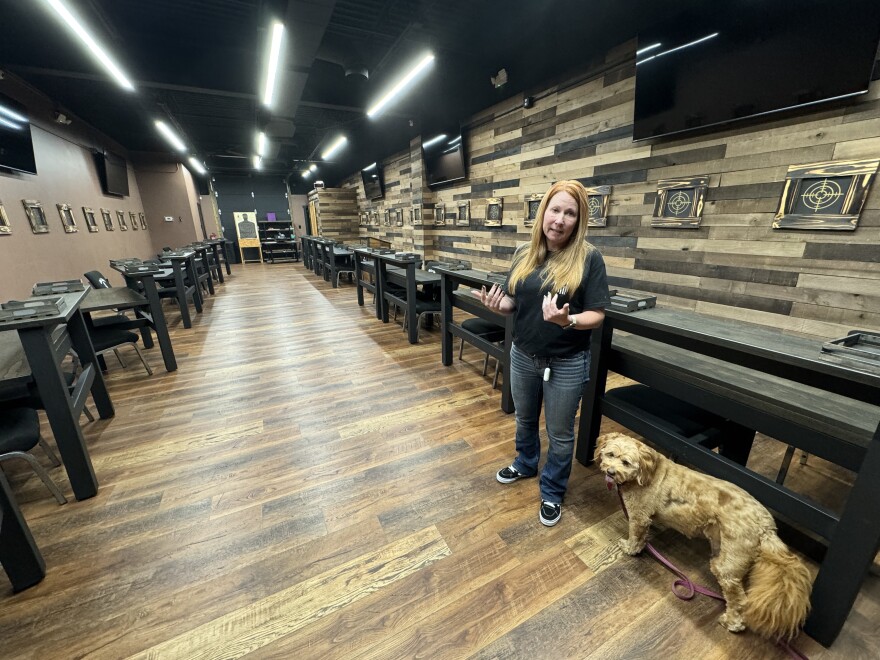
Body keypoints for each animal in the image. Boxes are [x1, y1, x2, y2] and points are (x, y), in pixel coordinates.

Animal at [596, 434, 816, 640]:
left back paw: (732, 622)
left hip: (727, 566)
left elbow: (636, 536)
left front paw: (629, 548)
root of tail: (765, 526)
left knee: (739, 599)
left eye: (626, 462)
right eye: (610, 455)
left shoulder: (638, 516)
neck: (648, 470)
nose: (610, 472)